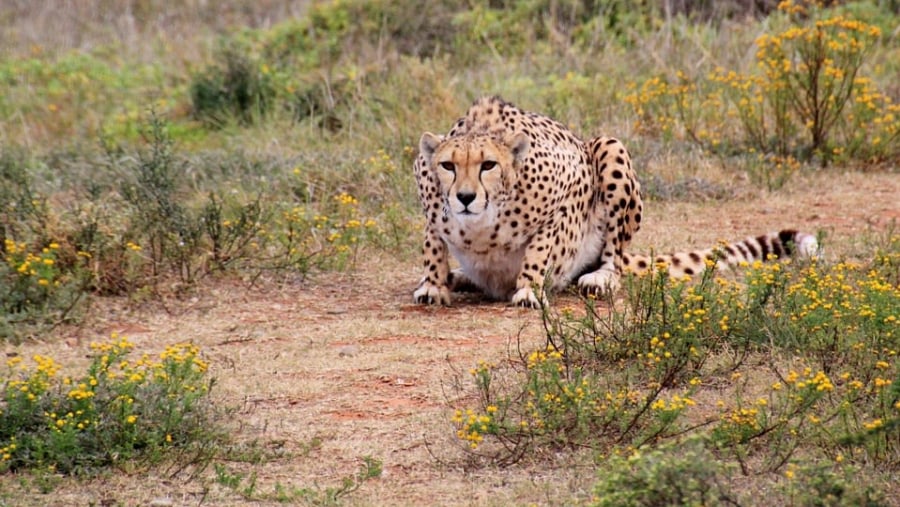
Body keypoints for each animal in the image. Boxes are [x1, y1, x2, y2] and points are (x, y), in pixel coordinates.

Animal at [412, 97, 820, 308]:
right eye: (448, 166)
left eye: (488, 165)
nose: (465, 197)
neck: (481, 224)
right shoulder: (429, 202)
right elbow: (433, 245)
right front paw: (434, 284)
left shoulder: (571, 187)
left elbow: (542, 246)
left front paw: (528, 287)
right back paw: (459, 276)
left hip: (609, 147)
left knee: (614, 255)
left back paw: (601, 277)